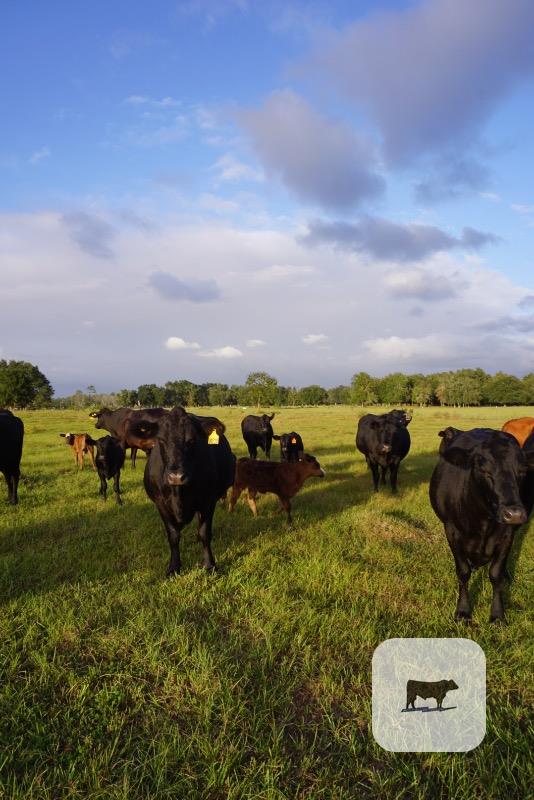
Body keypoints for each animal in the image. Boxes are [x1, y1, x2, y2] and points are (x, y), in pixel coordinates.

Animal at [127, 407, 235, 576]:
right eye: (161, 440)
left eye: (191, 440)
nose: (176, 477)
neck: (179, 494)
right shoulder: (161, 504)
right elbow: (173, 535)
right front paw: (174, 567)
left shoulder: (208, 501)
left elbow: (205, 533)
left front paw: (209, 565)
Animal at [429, 427, 534, 622]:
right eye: (483, 470)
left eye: (522, 471)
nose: (514, 514)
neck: (485, 521)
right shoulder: (451, 531)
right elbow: (463, 572)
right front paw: (463, 611)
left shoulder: (507, 536)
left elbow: (496, 573)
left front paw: (498, 615)